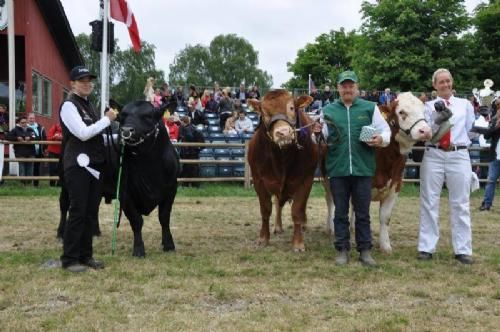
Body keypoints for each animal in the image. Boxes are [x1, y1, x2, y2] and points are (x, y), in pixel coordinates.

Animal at [246, 89, 320, 250]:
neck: (281, 158)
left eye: (291, 107)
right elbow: (265, 209)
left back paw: (303, 224)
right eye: (264, 112)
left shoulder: (306, 180)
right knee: (277, 203)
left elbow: (297, 210)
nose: (283, 133)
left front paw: (298, 243)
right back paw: (278, 227)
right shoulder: (259, 180)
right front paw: (263, 238)